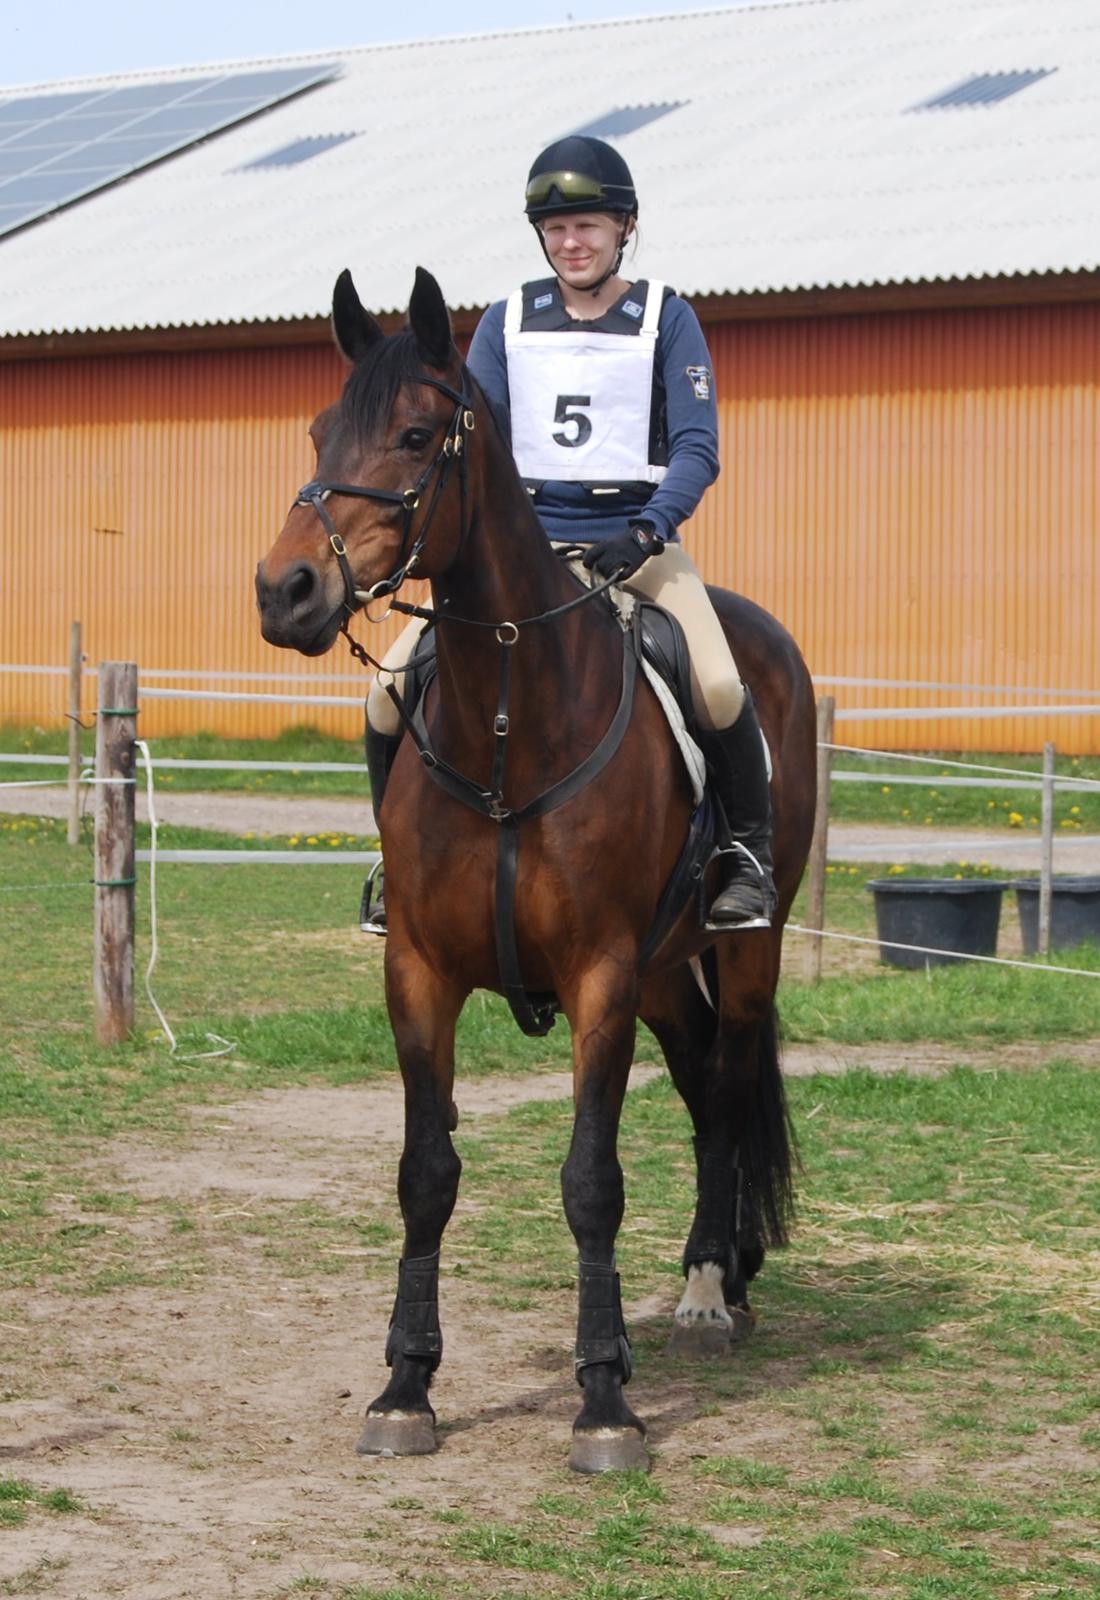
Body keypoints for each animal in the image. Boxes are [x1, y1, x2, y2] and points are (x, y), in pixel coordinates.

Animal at [251, 265, 815, 1472]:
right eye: (321, 429)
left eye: (417, 435)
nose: (287, 591)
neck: (511, 717)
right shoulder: (419, 972)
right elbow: (425, 1174)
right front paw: (404, 1387)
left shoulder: (599, 976)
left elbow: (590, 1182)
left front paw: (604, 1403)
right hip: (664, 970)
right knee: (699, 1080)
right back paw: (713, 1274)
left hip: (741, 948)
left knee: (728, 1079)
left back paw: (713, 1288)